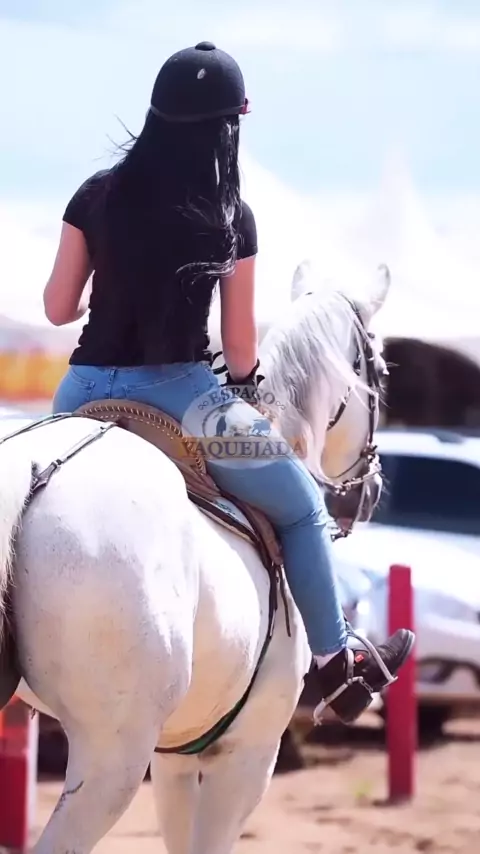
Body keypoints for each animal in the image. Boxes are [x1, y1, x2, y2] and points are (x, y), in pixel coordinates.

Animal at [0, 264, 391, 854]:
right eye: (382, 372)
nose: (368, 493)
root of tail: (36, 467)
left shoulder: (175, 757)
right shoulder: (247, 754)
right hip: (112, 760)